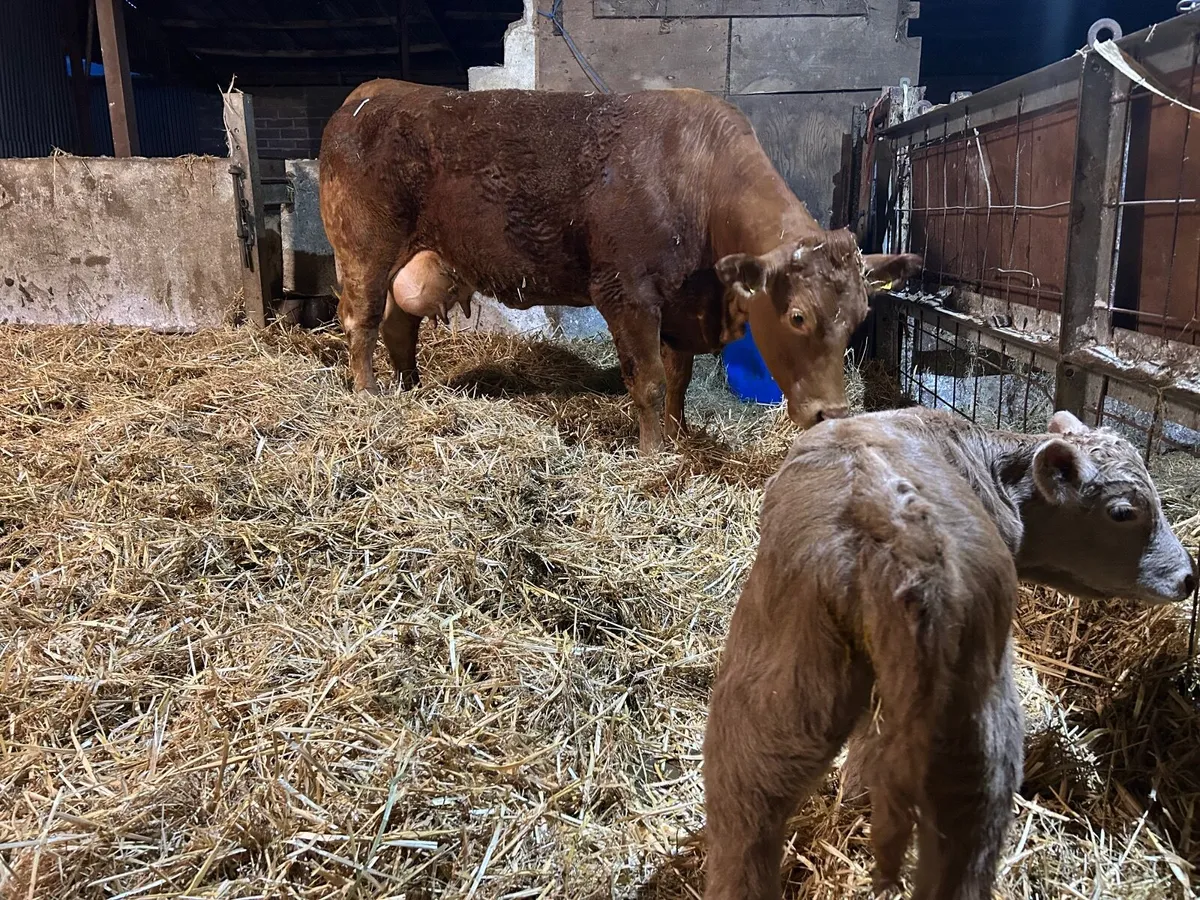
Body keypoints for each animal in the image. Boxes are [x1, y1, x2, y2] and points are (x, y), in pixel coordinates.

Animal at [318, 81, 922, 453]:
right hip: (365, 249)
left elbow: (677, 378)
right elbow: (648, 380)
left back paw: (410, 388)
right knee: (361, 320)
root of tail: (369, 94)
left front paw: (679, 434)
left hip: (416, 259)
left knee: (399, 324)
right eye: (796, 316)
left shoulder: (679, 303)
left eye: (860, 318)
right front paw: (653, 452)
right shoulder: (627, 293)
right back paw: (369, 395)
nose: (832, 415)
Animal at [702, 408, 1197, 900]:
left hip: (781, 685)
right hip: (972, 722)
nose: (1189, 577)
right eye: (1123, 513)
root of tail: (887, 518)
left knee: (747, 806)